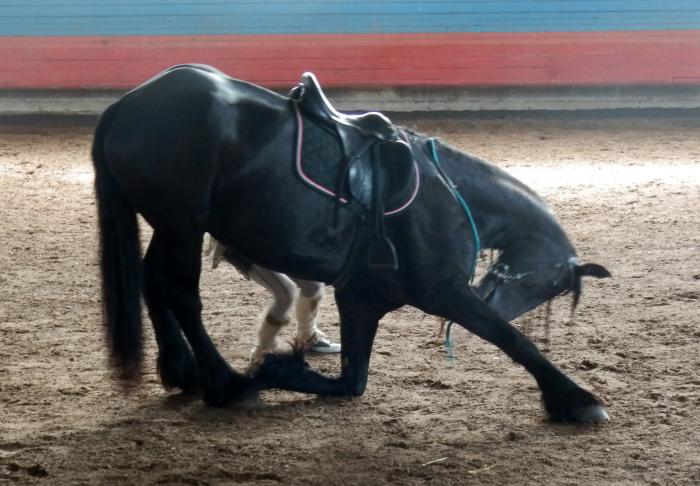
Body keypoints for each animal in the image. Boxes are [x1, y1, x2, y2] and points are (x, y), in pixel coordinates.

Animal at [94, 63, 612, 422]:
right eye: (550, 286)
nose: (497, 299)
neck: (448, 194)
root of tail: (127, 104)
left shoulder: (363, 298)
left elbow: (352, 381)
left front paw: (282, 368)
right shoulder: (445, 293)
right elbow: (512, 339)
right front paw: (575, 399)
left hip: (170, 226)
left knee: (151, 281)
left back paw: (181, 370)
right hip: (183, 225)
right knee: (181, 294)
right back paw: (227, 386)